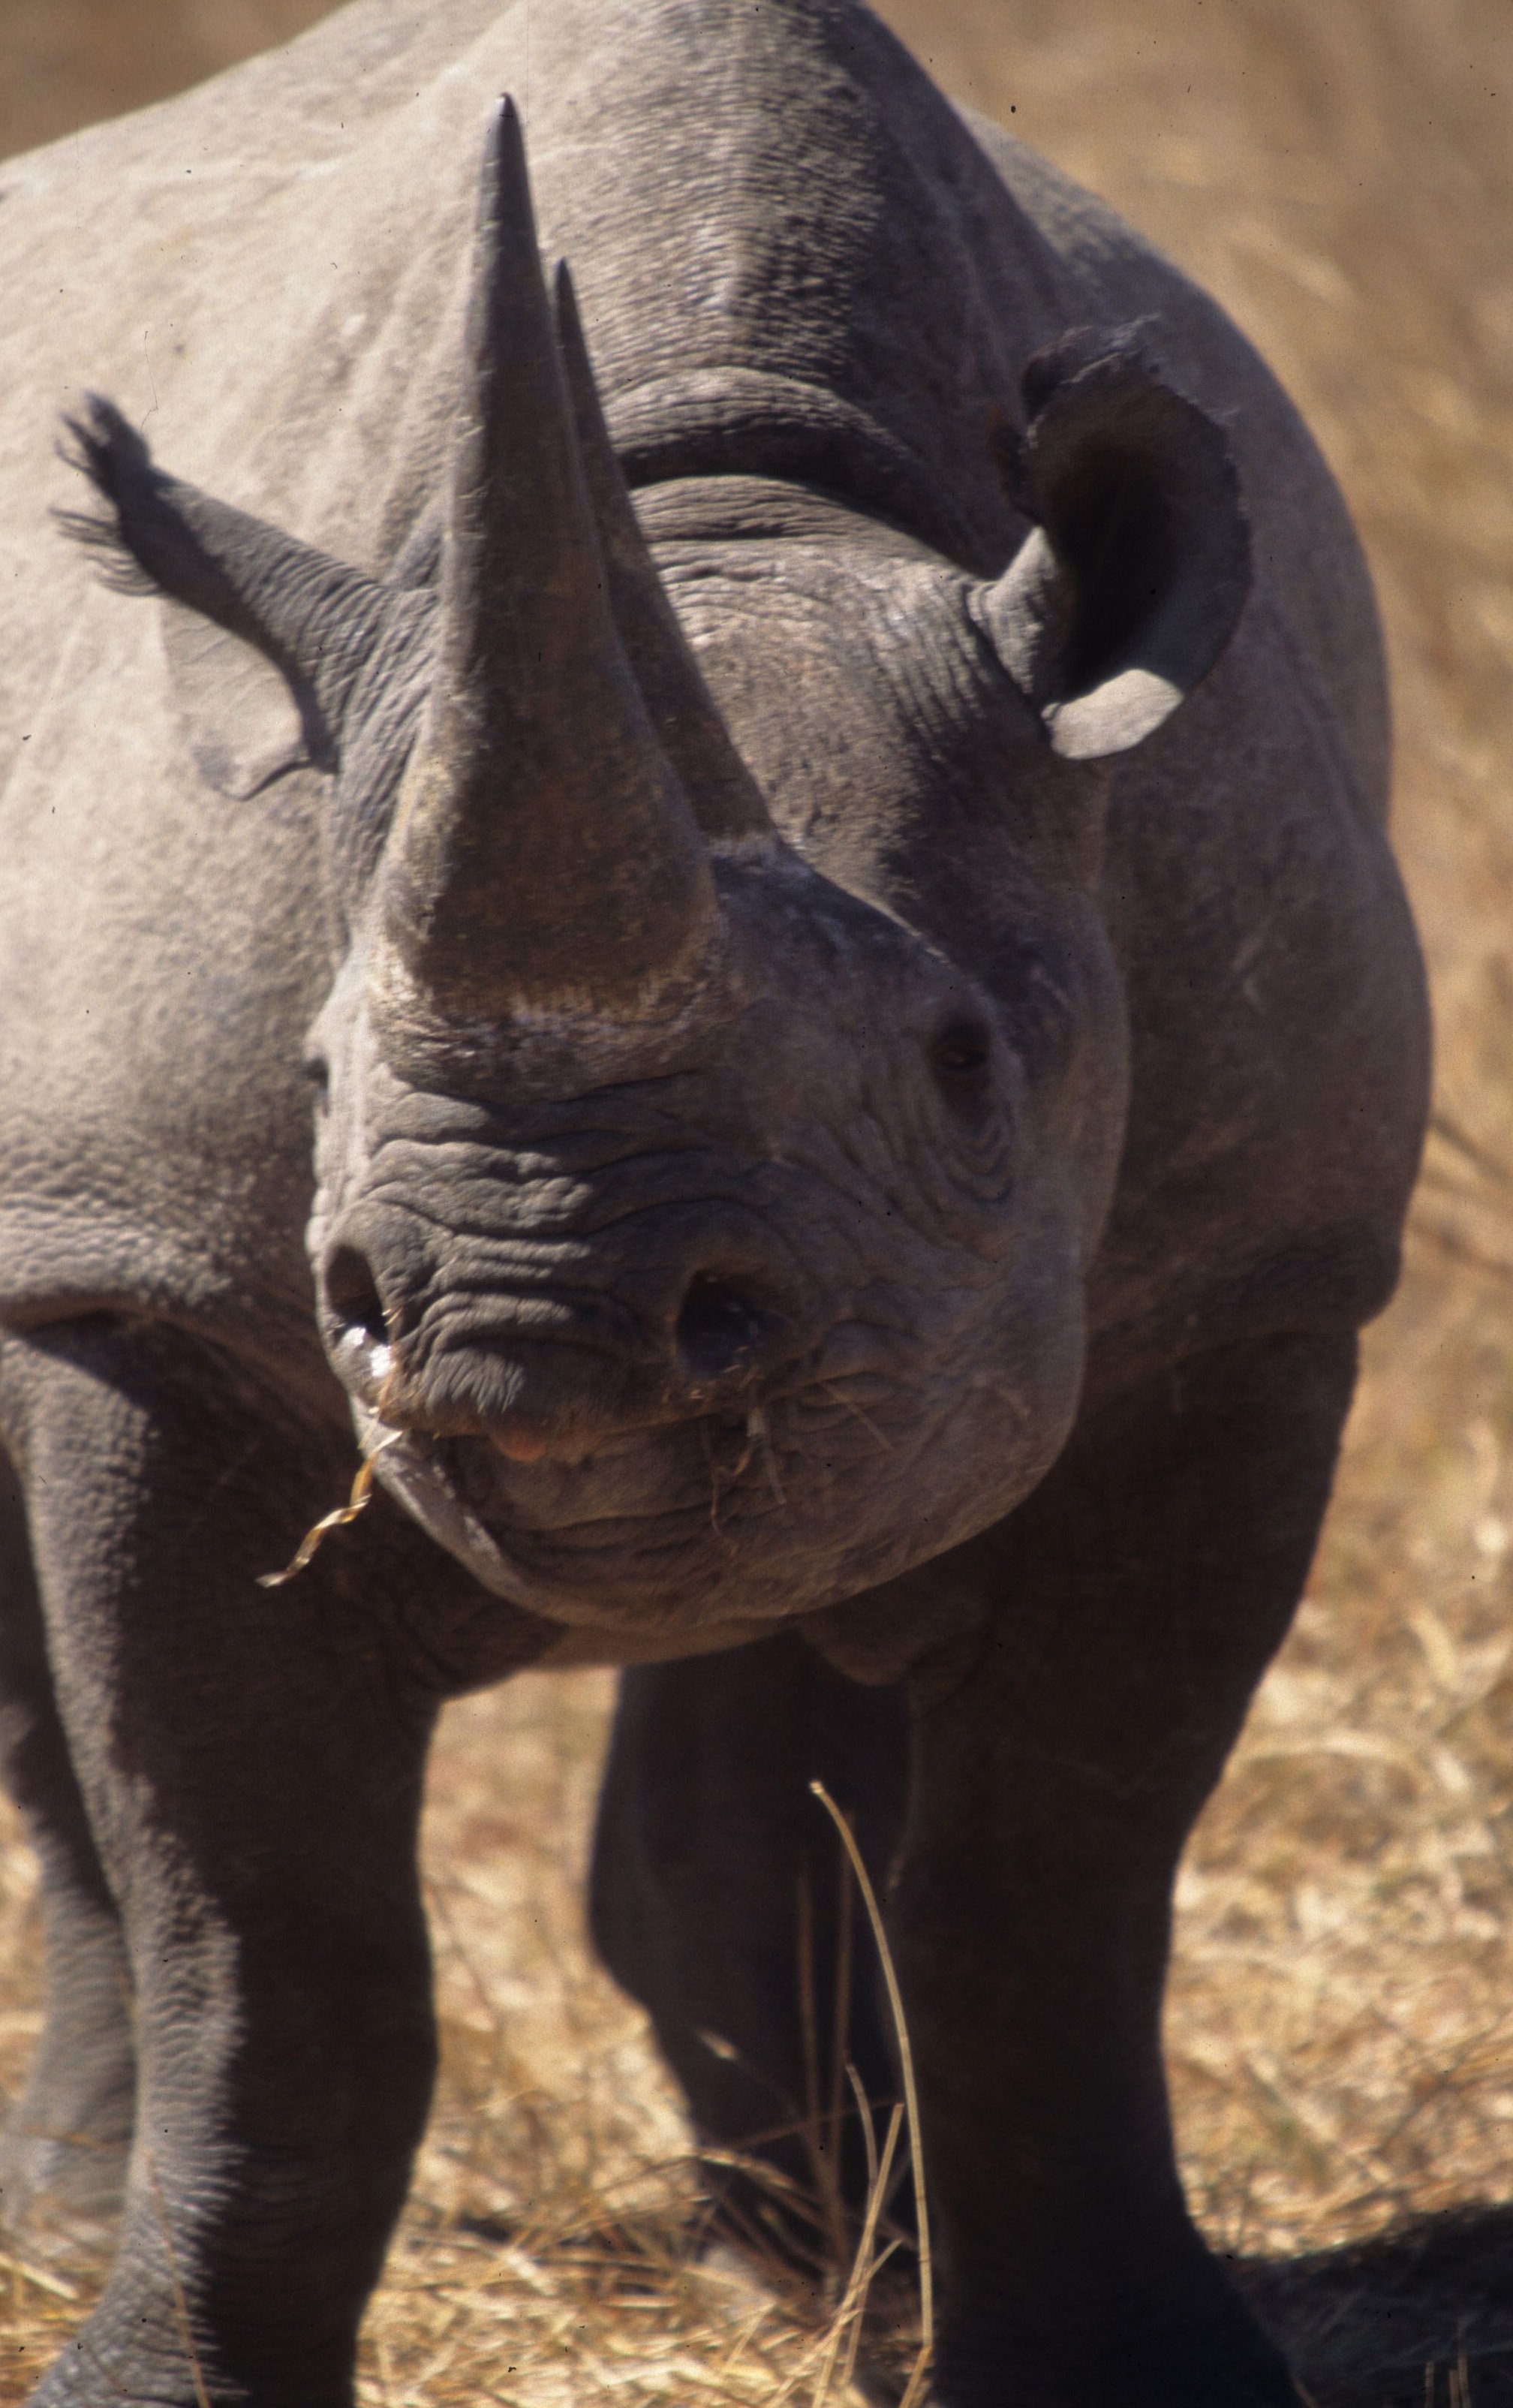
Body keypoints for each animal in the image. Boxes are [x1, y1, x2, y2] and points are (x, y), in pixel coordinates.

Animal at [0, 0, 1428, 2399]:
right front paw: (149, 2377)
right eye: (312, 1084)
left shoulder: (1250, 1288)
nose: (518, 1330)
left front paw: (1102, 2363)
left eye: (966, 1068)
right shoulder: (146, 1281)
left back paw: (827, 2249)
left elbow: (1051, 1904)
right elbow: (263, 1940)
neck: (731, 504)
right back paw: (76, 2221)